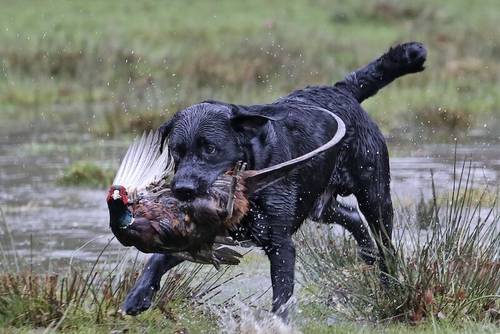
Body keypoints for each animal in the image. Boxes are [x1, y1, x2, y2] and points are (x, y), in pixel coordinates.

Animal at [121, 41, 426, 316]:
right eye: (176, 151)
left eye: (210, 149)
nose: (183, 189)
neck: (254, 166)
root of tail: (342, 90)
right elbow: (159, 257)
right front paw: (139, 295)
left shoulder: (280, 244)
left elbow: (282, 298)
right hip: (318, 204)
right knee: (351, 217)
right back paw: (366, 252)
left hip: (374, 195)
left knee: (385, 243)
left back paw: (390, 284)